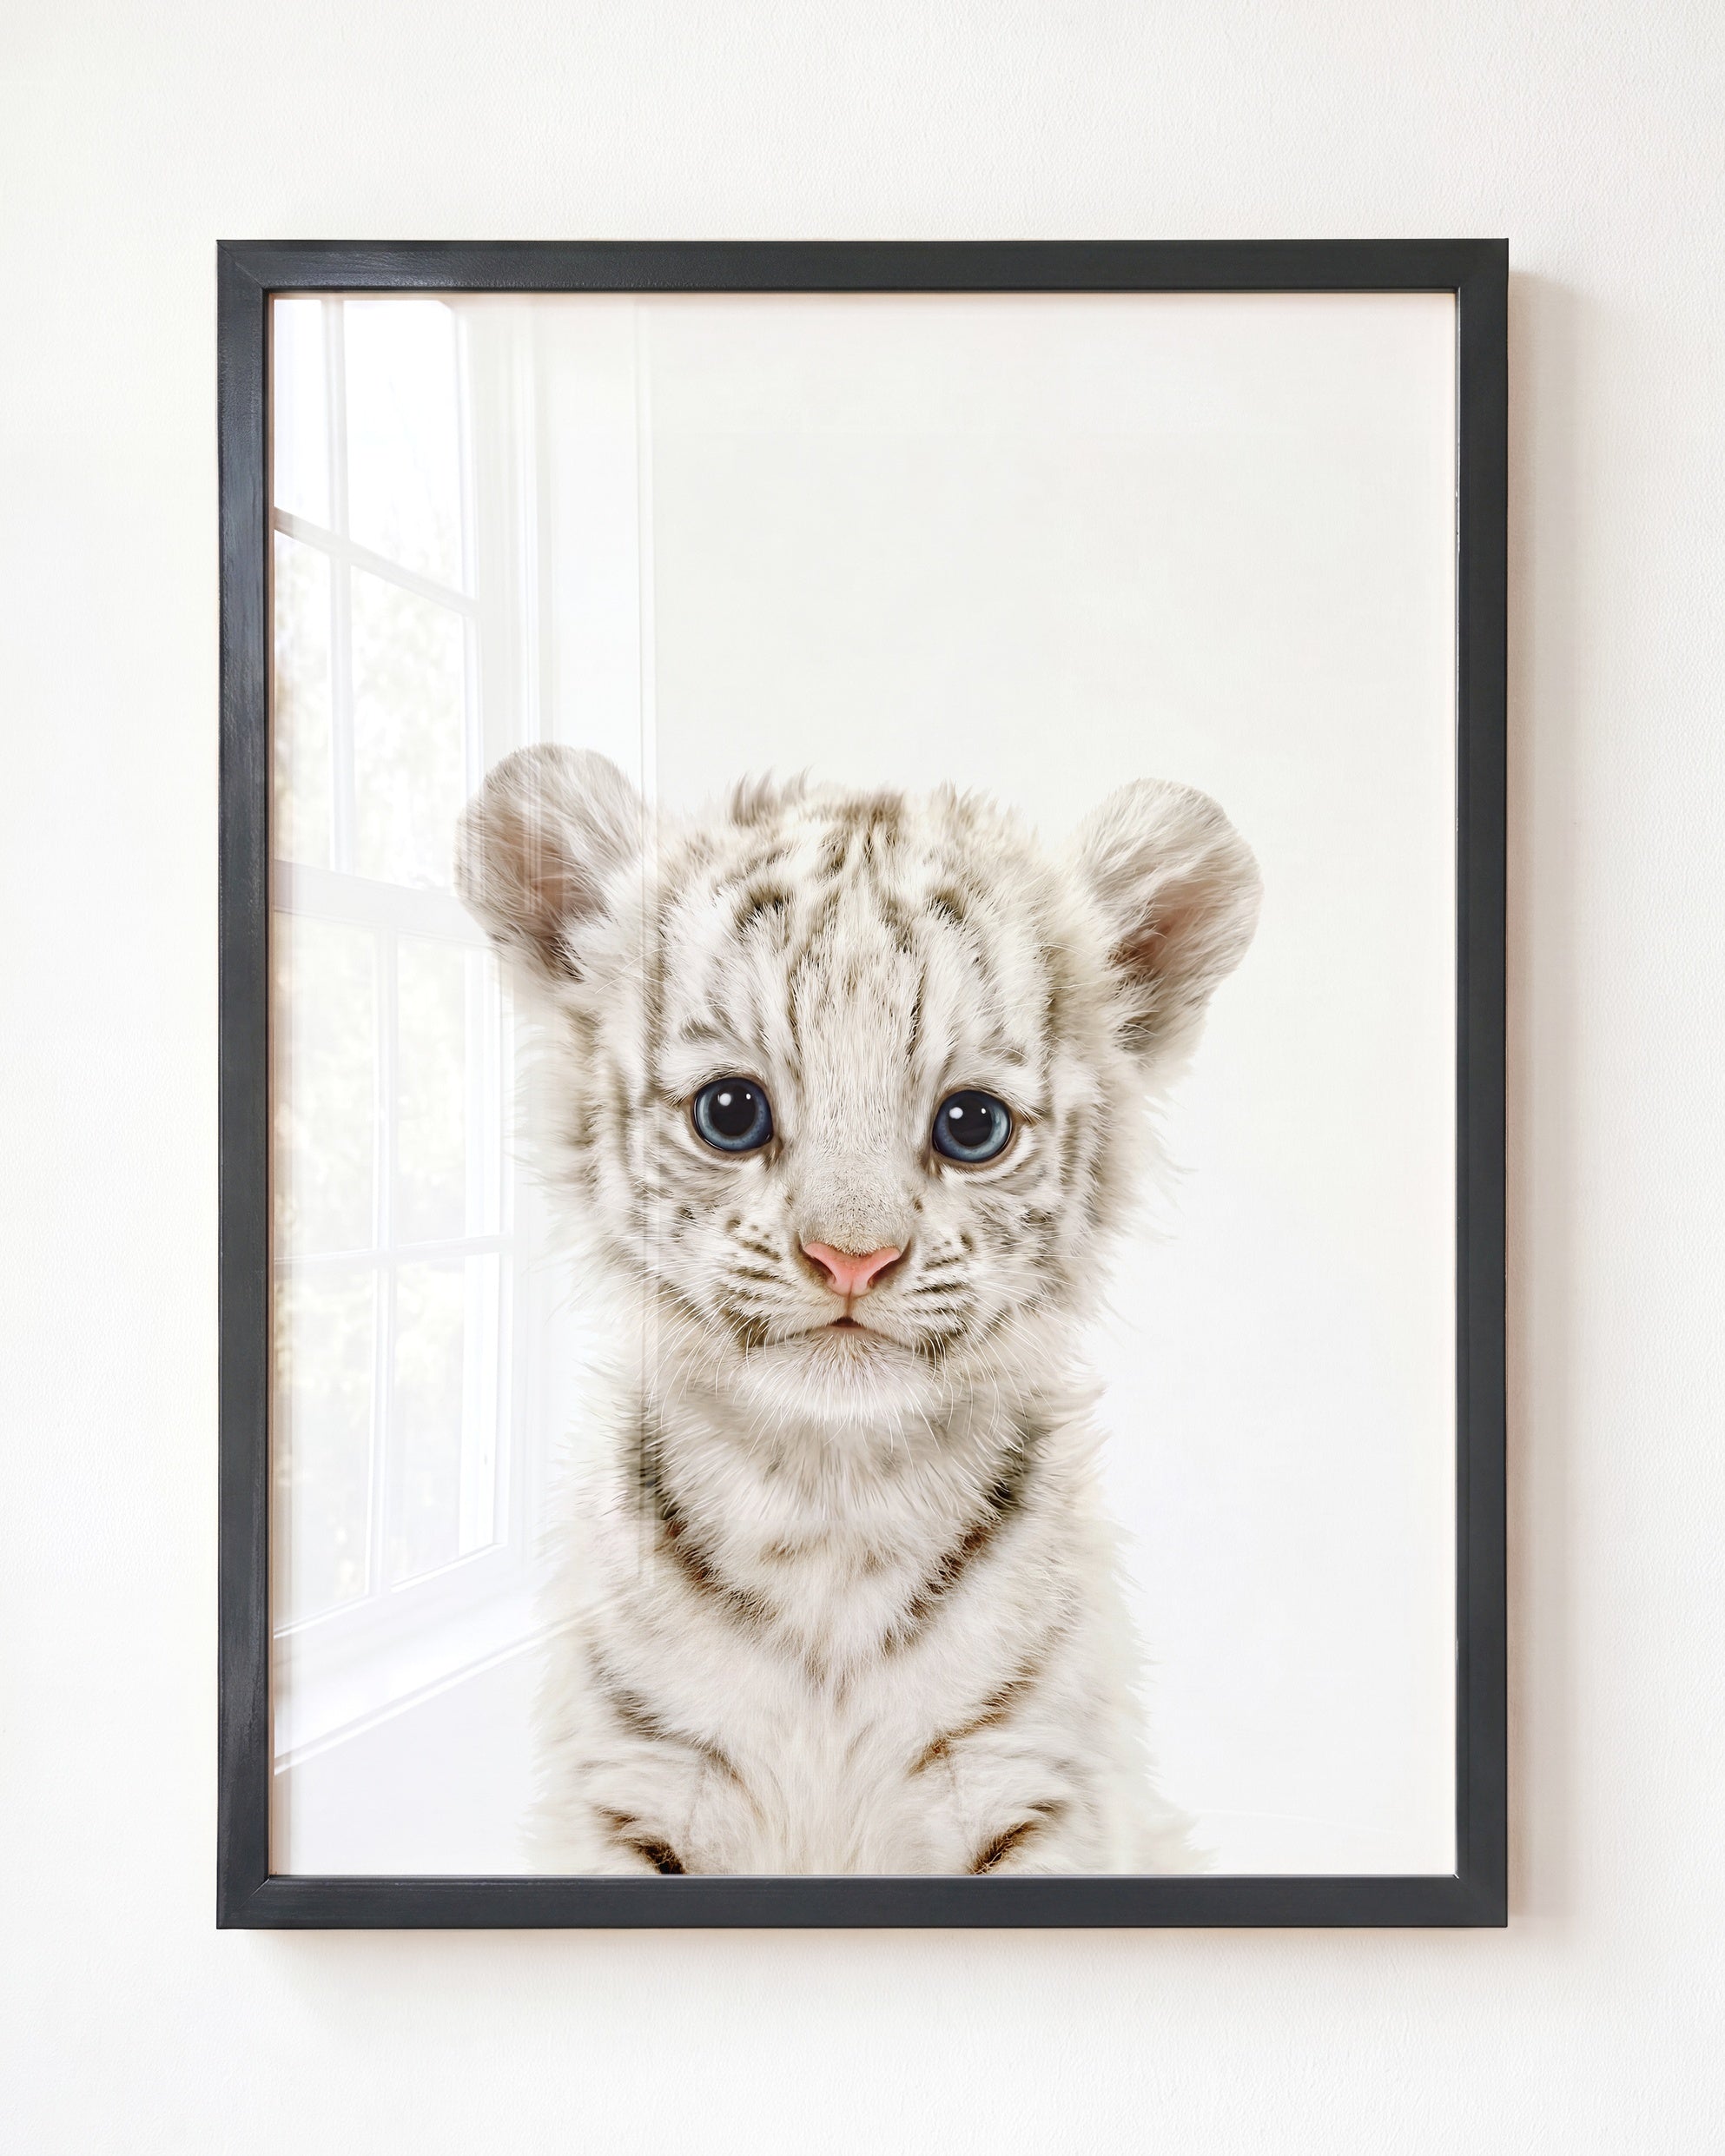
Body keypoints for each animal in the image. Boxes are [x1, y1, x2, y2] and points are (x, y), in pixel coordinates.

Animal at [457, 745, 1260, 1874]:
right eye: (731, 1112)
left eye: (973, 1125)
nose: (851, 1257)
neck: (830, 1506)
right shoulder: (632, 1792)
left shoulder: (1035, 1791)